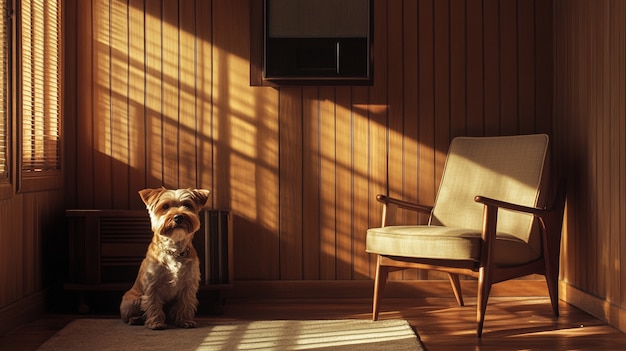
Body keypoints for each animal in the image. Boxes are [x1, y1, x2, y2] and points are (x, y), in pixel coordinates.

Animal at [119, 188, 210, 328]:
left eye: (187, 205)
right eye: (165, 206)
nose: (178, 217)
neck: (174, 249)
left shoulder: (189, 284)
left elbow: (186, 303)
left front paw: (185, 321)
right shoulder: (153, 283)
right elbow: (153, 303)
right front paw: (156, 323)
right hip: (131, 301)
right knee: (129, 314)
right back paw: (136, 319)